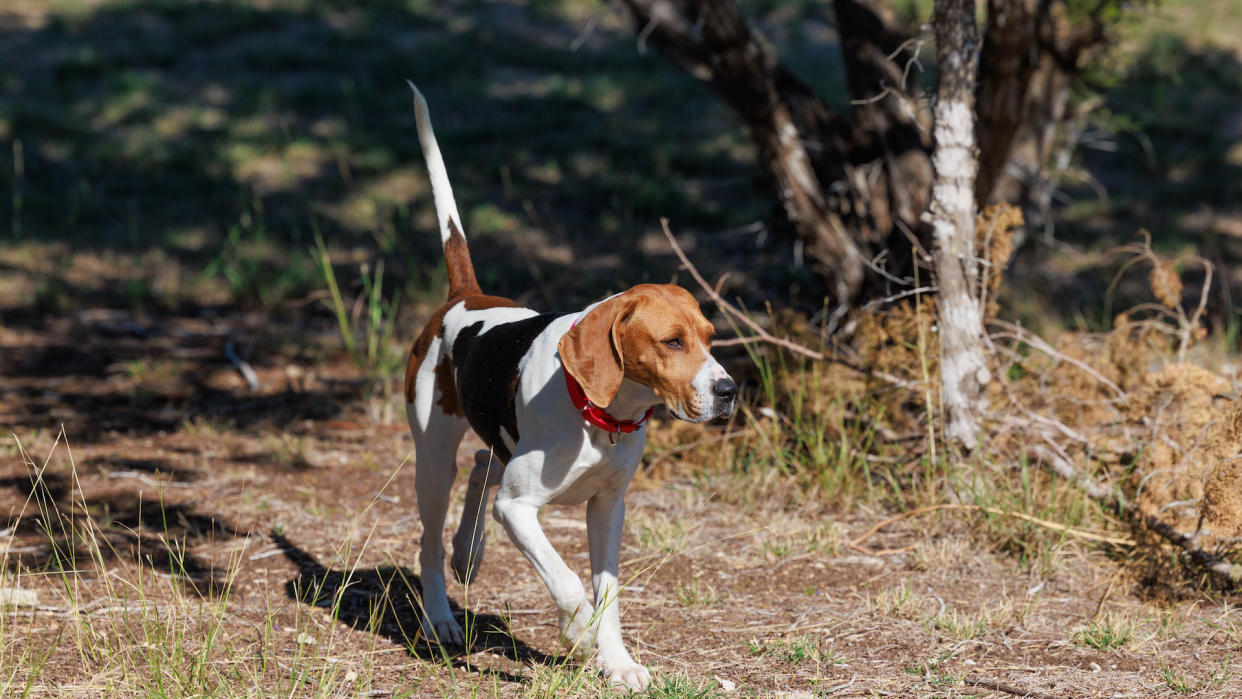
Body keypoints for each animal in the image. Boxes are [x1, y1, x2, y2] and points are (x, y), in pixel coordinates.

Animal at [402, 83, 735, 695]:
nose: (728, 390)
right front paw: (577, 636)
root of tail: (464, 297)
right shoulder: (518, 511)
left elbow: (608, 593)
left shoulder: (608, 508)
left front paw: (618, 663)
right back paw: (440, 616)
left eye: (709, 337)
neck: (599, 415)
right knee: (429, 541)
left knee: (483, 466)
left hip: (492, 449)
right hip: (432, 459)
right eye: (672, 342)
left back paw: (469, 551)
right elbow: (570, 583)